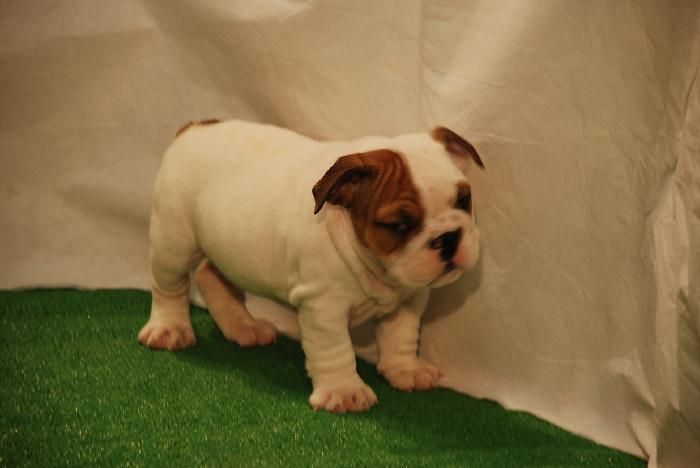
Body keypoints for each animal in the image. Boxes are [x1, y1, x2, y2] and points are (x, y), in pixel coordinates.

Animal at [139, 120, 484, 414]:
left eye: (464, 199)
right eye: (399, 225)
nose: (449, 237)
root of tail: (194, 127)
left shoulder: (409, 299)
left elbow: (401, 336)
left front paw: (406, 370)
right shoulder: (323, 309)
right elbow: (335, 350)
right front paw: (345, 391)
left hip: (229, 250)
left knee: (211, 275)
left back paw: (243, 327)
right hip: (173, 241)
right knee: (170, 287)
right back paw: (169, 329)